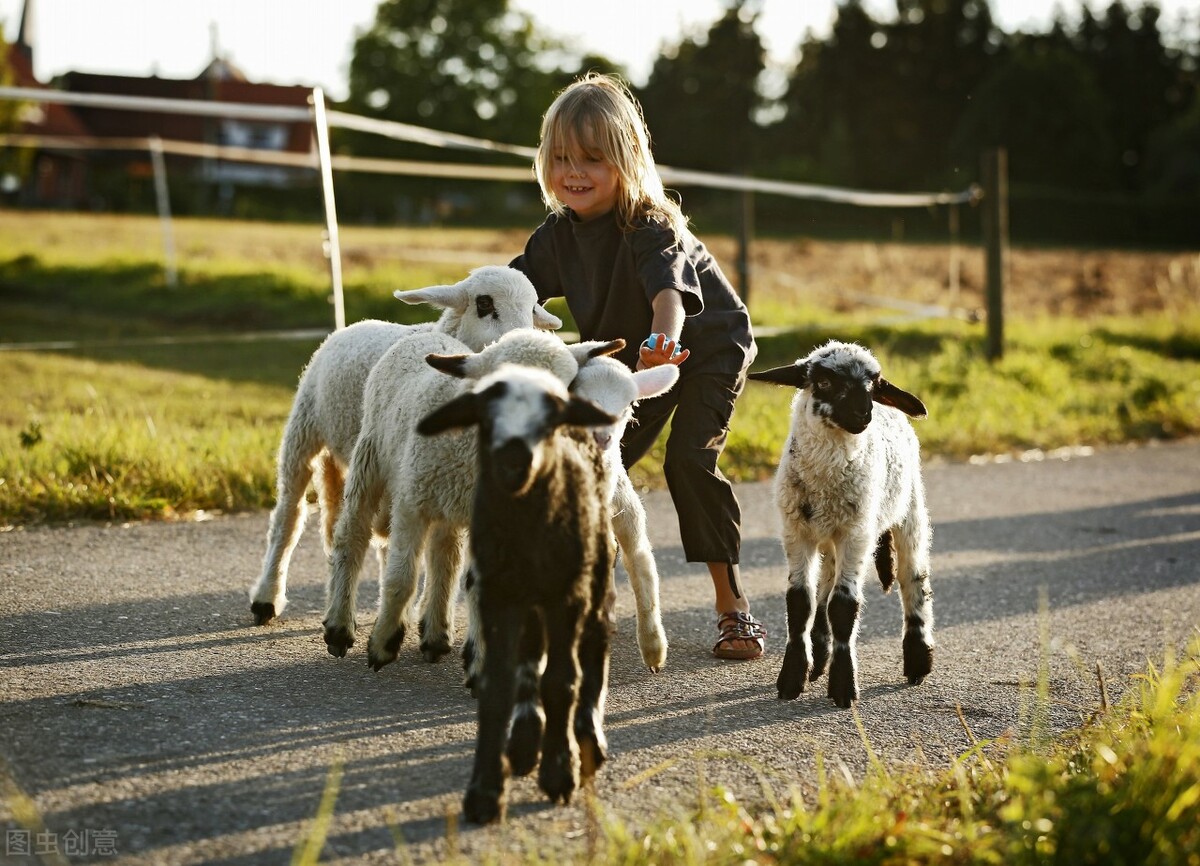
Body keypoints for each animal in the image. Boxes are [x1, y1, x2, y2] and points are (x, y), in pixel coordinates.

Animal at [247, 262, 561, 618]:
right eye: (484, 304)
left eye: (533, 308)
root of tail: (352, 325)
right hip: (305, 430)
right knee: (288, 516)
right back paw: (267, 596)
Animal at [415, 359, 619, 820]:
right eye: (486, 419)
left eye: (548, 422)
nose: (513, 460)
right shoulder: (497, 595)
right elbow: (498, 686)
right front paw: (485, 792)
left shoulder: (566, 595)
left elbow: (562, 680)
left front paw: (559, 772)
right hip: (527, 600)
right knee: (530, 659)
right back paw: (525, 742)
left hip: (593, 574)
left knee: (594, 644)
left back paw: (588, 737)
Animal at [748, 340, 936, 705]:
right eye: (823, 382)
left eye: (874, 385)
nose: (864, 413)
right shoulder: (797, 534)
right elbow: (800, 602)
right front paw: (792, 678)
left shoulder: (856, 535)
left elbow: (844, 606)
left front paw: (843, 686)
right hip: (828, 537)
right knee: (825, 586)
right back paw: (819, 656)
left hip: (909, 510)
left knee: (913, 579)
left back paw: (918, 661)